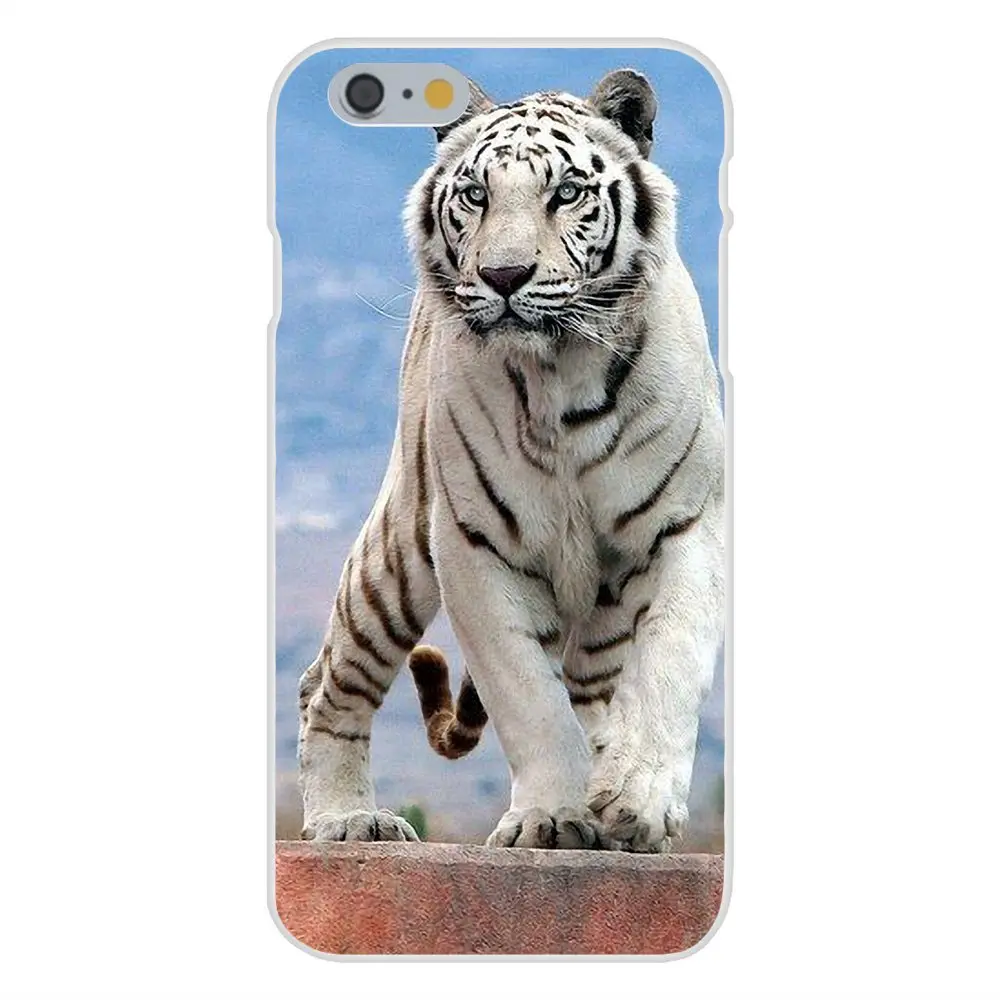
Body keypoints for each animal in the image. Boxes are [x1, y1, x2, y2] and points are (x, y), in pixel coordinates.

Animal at [296, 68, 725, 853]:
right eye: (475, 194)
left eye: (567, 192)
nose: (503, 275)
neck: (563, 376)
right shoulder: (473, 544)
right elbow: (528, 696)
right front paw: (552, 815)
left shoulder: (686, 527)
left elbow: (668, 665)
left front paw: (637, 802)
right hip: (398, 551)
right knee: (329, 681)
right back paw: (348, 820)